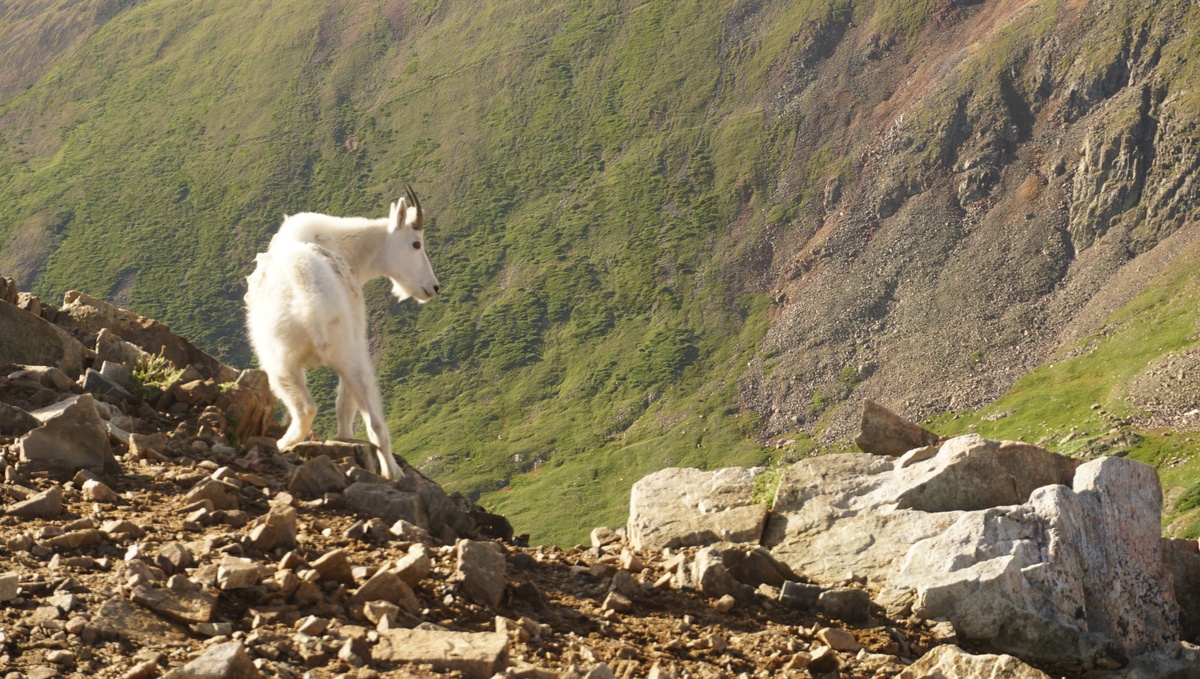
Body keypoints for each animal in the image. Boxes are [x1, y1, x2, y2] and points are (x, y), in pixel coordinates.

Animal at [241, 189, 439, 482]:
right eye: (416, 244)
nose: (433, 287)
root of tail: (311, 304)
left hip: (278, 358)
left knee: (308, 408)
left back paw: (283, 443)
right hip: (345, 354)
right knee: (374, 420)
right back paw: (392, 472)